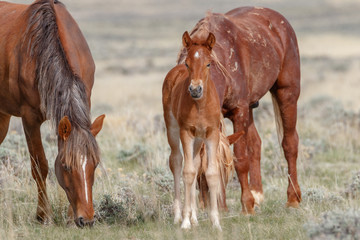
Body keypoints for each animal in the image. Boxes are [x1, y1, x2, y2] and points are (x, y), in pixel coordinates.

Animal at [0, 0, 104, 228]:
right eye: (65, 166)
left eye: (95, 164)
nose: (87, 219)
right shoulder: (29, 119)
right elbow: (40, 166)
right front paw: (43, 215)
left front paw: (69, 217)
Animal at [174, 6, 300, 219]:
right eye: (186, 64)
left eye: (208, 64)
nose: (215, 206)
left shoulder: (238, 112)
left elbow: (241, 159)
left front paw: (247, 205)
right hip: (250, 108)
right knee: (256, 143)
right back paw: (258, 194)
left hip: (287, 94)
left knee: (290, 143)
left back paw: (293, 199)